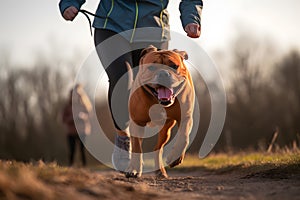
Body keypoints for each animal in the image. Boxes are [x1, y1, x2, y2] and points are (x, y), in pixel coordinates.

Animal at [126, 45, 195, 178]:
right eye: (151, 67)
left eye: (174, 66)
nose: (163, 73)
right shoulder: (137, 122)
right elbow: (136, 147)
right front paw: (134, 169)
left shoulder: (186, 117)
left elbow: (183, 137)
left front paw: (175, 158)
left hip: (166, 129)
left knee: (158, 148)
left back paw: (160, 171)